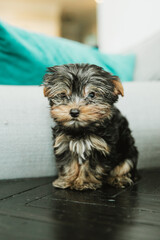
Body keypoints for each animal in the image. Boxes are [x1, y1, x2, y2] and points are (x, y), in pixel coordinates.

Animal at [43, 62, 138, 190]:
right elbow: (68, 164)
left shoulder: (99, 147)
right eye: (63, 95)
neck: (80, 130)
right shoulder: (64, 144)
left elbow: (91, 167)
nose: (74, 112)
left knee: (124, 167)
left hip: (129, 153)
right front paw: (66, 181)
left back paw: (119, 179)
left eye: (92, 94)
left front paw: (85, 183)